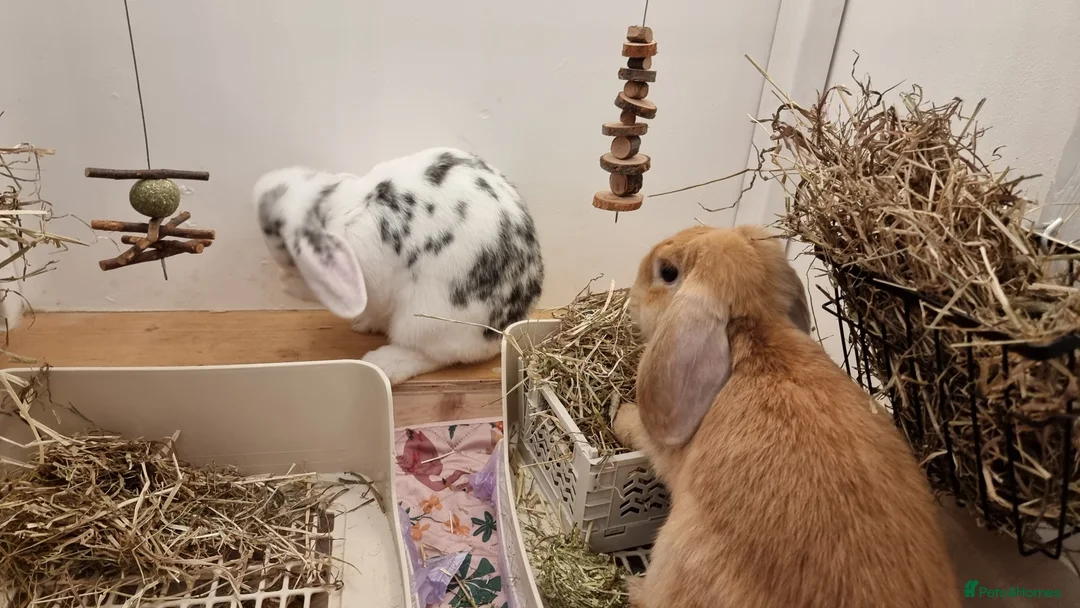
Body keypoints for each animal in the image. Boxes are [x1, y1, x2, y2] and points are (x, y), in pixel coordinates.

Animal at [253, 147, 544, 385]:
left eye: (273, 227)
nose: (259, 184)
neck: (341, 209)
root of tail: (502, 330)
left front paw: (287, 282)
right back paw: (364, 324)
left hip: (424, 321)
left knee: (436, 355)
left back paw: (382, 363)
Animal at [613, 225, 959, 608]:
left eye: (668, 272)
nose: (632, 299)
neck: (756, 339)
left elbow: (643, 432)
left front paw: (620, 415)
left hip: (679, 550)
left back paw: (633, 586)